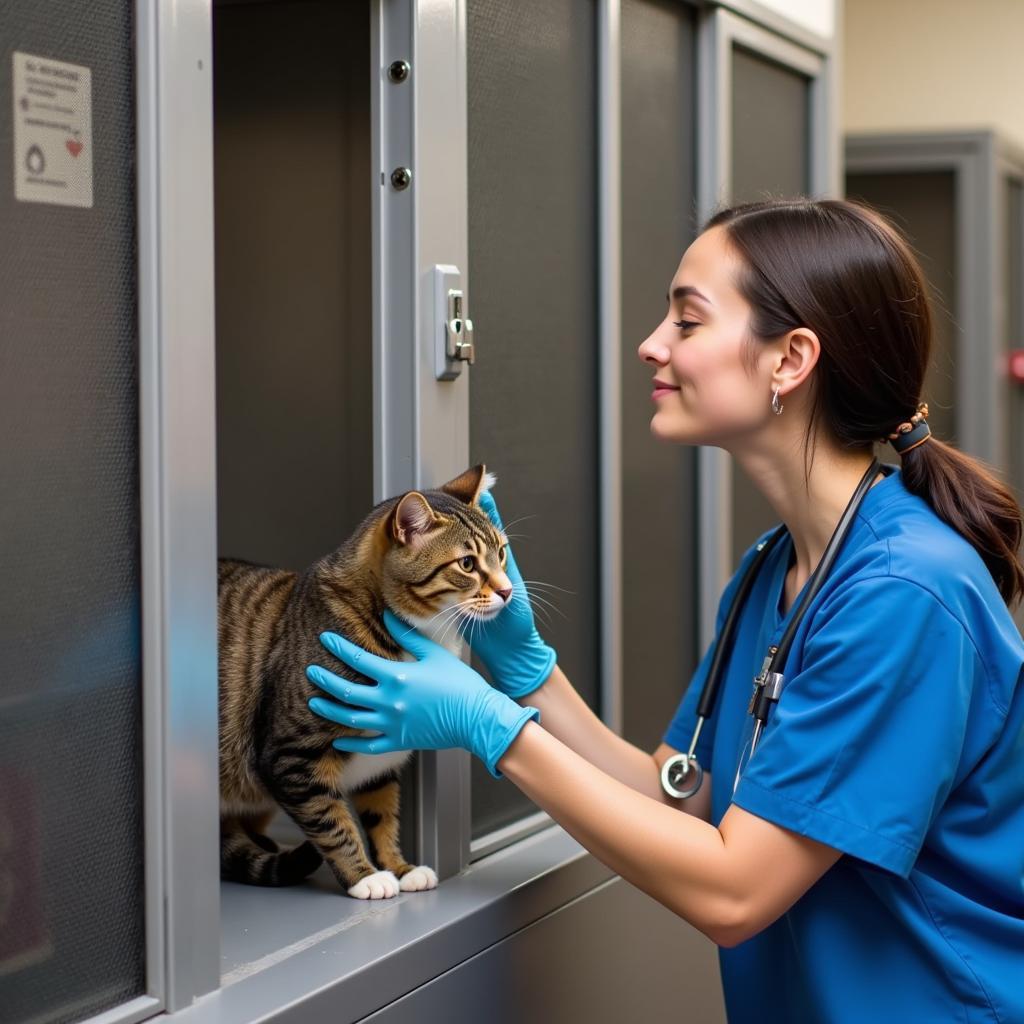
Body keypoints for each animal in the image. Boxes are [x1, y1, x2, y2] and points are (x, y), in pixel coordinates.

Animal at [217, 464, 512, 897]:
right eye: (467, 565)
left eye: (501, 553)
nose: (508, 591)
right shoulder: (291, 756)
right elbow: (332, 822)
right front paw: (365, 877)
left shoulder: (381, 756)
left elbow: (382, 815)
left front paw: (400, 867)